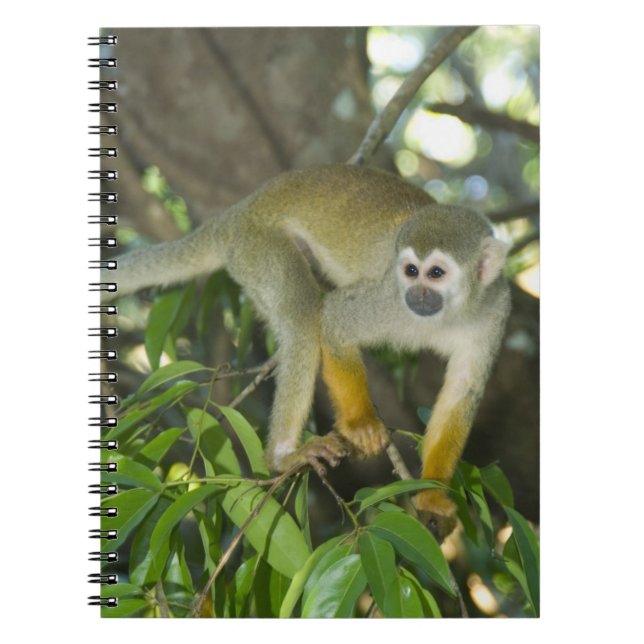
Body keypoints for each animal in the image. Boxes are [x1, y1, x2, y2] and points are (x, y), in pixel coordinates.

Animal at [103, 164, 511, 541]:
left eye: (436, 274)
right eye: (411, 271)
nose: (417, 295)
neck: (448, 313)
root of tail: (238, 212)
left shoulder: (495, 311)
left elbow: (462, 392)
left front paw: (432, 496)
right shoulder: (389, 299)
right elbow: (334, 320)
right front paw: (361, 425)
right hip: (259, 247)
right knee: (303, 316)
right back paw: (283, 456)